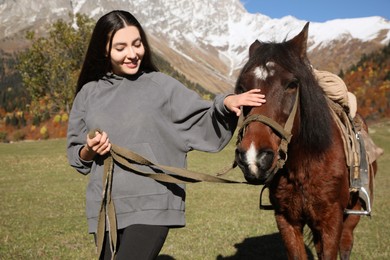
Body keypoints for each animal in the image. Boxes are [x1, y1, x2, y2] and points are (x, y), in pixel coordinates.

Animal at [233, 22, 376, 260]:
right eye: (242, 88)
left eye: (292, 84)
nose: (253, 158)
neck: (303, 165)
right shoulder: (287, 220)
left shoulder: (331, 222)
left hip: (353, 214)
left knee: (346, 244)